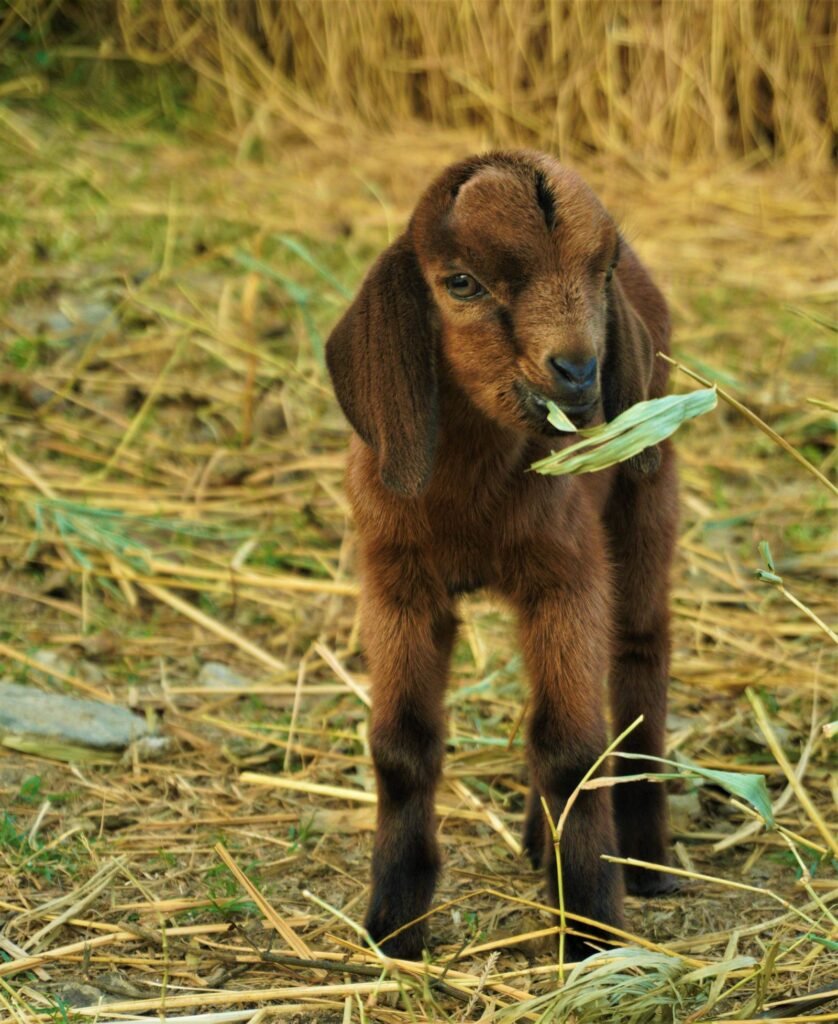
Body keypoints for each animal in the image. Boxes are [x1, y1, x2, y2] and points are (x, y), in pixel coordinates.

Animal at [326, 151, 679, 961]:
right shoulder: (396, 581)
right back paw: (537, 843)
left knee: (639, 657)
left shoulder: (568, 576)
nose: (579, 371)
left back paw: (645, 859)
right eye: (461, 283)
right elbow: (400, 746)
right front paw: (394, 925)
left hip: (648, 488)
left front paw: (593, 933)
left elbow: (572, 749)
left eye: (600, 270)